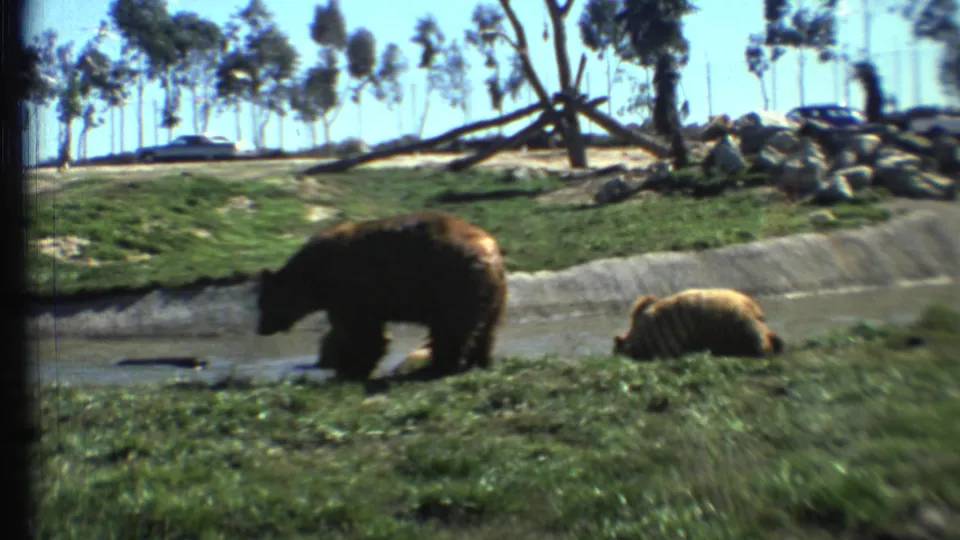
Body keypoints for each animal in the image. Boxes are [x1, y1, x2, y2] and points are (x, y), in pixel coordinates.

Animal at [256, 210, 508, 382]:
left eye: (264, 303)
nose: (261, 329)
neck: (314, 277)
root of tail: (490, 248)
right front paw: (345, 364)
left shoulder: (351, 286)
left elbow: (361, 331)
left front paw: (351, 368)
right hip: (492, 293)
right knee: (486, 328)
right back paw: (479, 361)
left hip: (450, 282)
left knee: (451, 328)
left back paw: (438, 366)